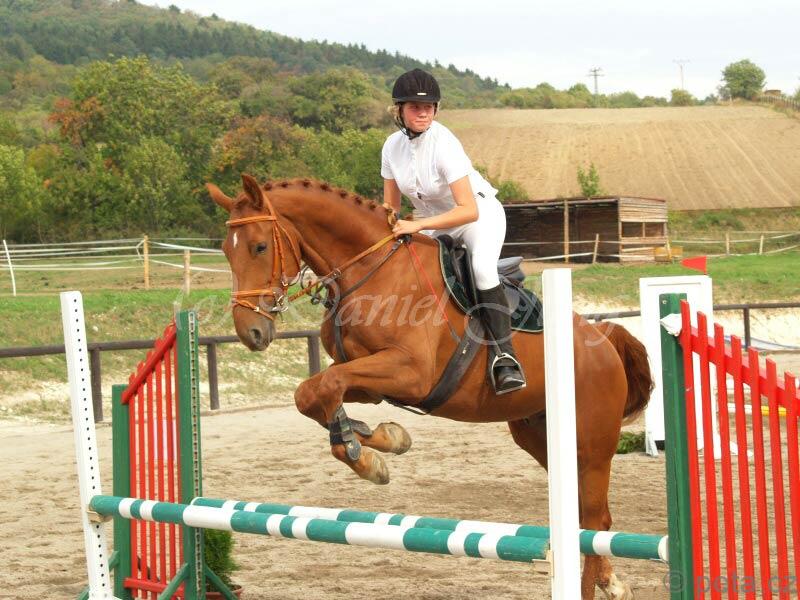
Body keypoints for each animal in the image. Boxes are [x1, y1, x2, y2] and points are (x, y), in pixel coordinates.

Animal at [206, 174, 653, 600]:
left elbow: (326, 386)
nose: (251, 332)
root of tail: (603, 339)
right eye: (227, 251)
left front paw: (364, 455)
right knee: (588, 518)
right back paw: (613, 583)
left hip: (591, 445)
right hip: (538, 435)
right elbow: (312, 393)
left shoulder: (410, 372)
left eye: (260, 247)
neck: (369, 268)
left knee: (593, 519)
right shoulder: (368, 378)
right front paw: (379, 439)